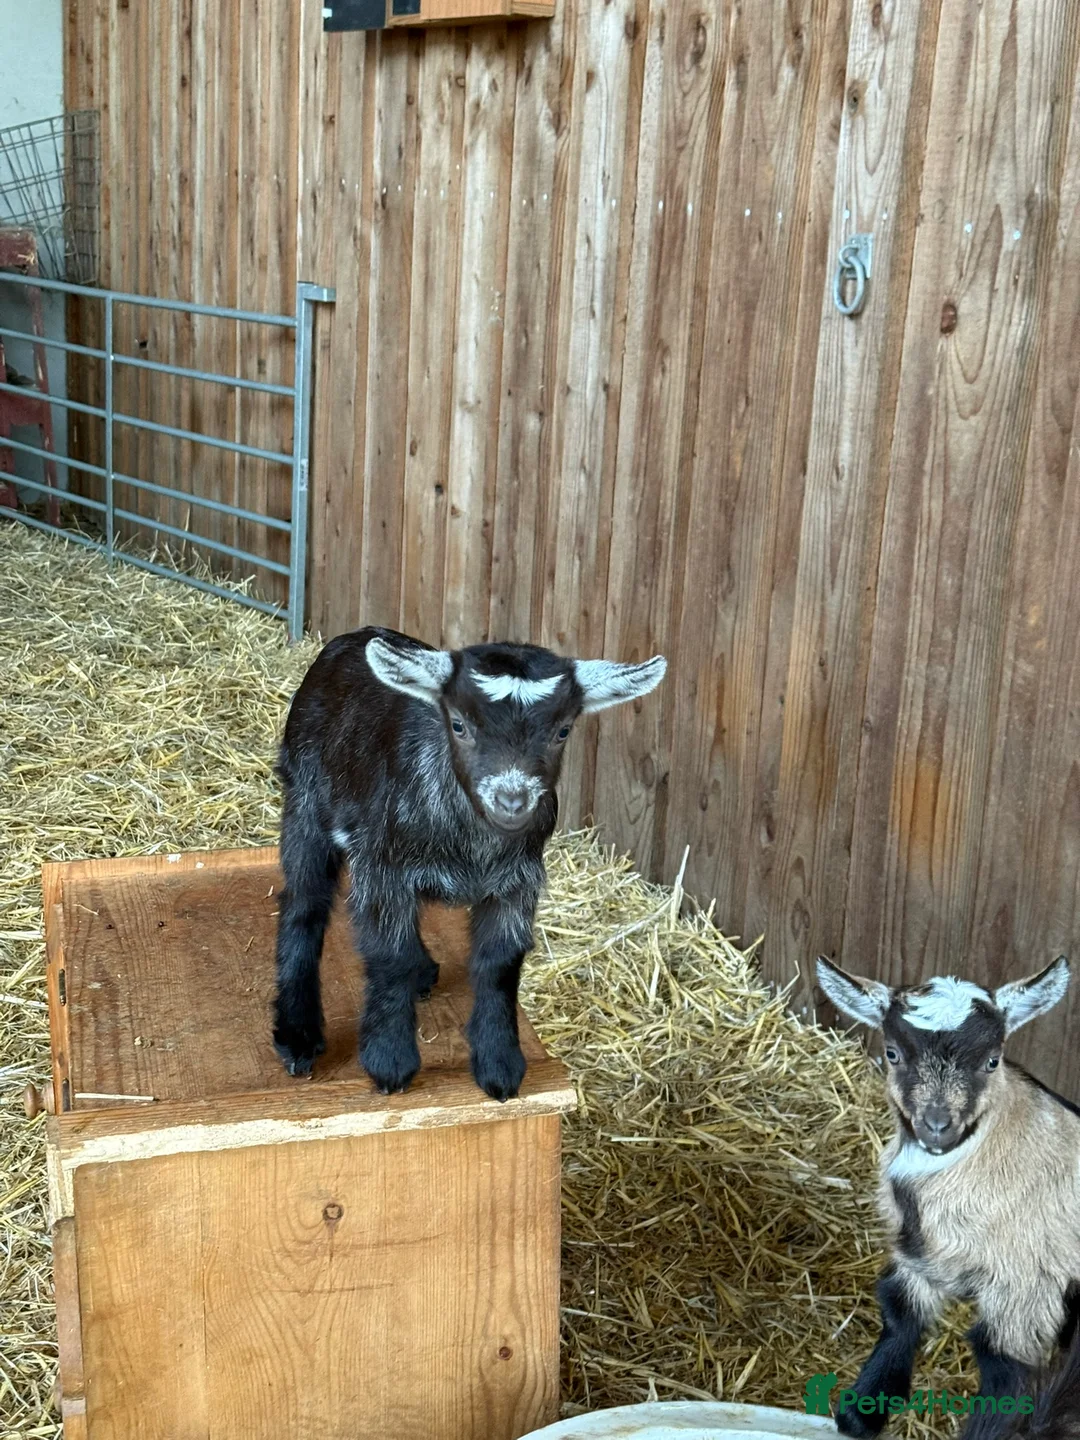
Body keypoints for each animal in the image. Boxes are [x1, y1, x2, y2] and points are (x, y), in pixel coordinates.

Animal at [273, 626, 666, 1101]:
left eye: (562, 731)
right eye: (459, 724)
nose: (512, 801)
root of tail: (353, 637)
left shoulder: (517, 881)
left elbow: (500, 963)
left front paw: (500, 1066)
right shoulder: (382, 866)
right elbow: (389, 955)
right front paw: (390, 1063)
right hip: (305, 798)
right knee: (304, 904)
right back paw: (297, 1035)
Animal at [816, 955, 1079, 1439]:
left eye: (993, 1060)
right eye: (893, 1053)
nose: (937, 1125)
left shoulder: (1026, 1290)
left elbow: (1008, 1381)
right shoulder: (920, 1255)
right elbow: (899, 1312)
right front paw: (861, 1412)